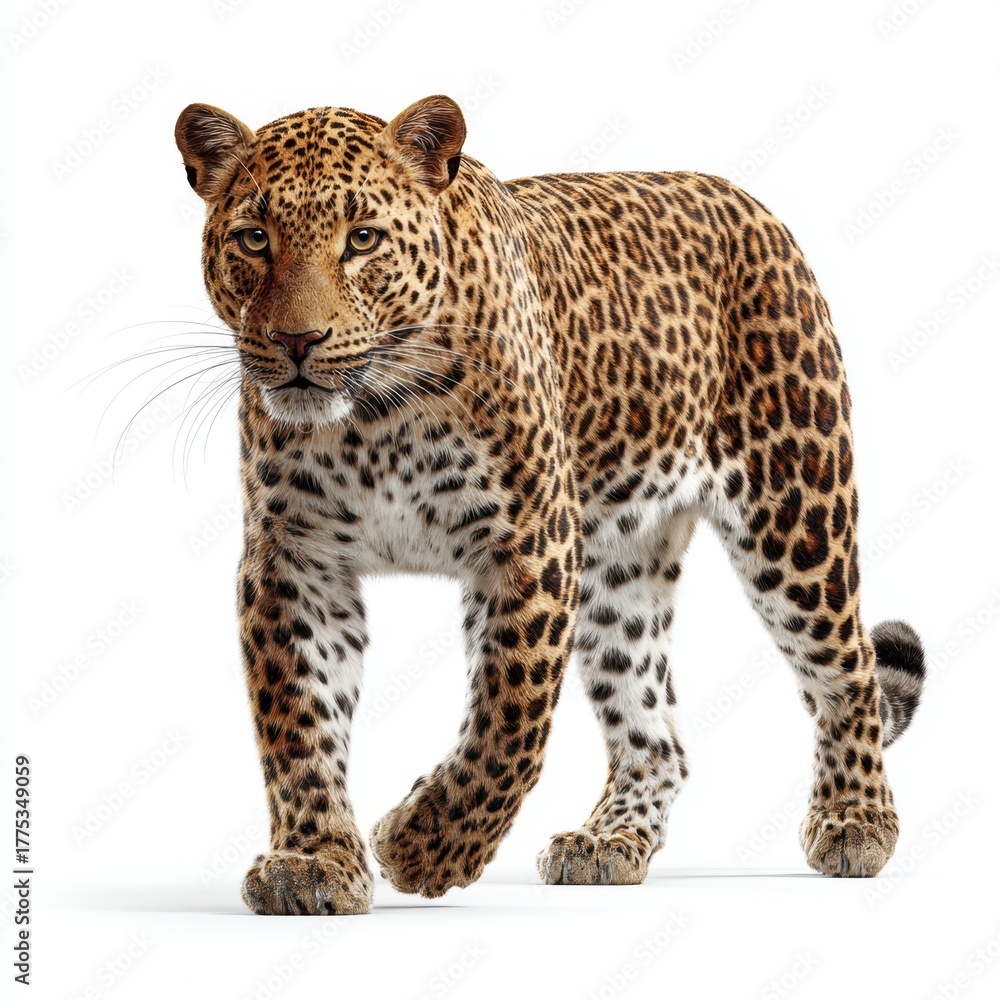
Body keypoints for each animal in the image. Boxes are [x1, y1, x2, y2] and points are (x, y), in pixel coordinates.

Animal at [173, 94, 926, 915]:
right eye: (253, 238)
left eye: (362, 239)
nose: (297, 340)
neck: (376, 421)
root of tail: (749, 203)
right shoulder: (295, 560)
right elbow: (298, 723)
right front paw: (312, 861)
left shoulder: (528, 543)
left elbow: (511, 719)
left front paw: (426, 847)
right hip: (620, 565)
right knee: (657, 733)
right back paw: (609, 841)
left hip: (794, 512)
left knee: (848, 669)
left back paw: (857, 822)